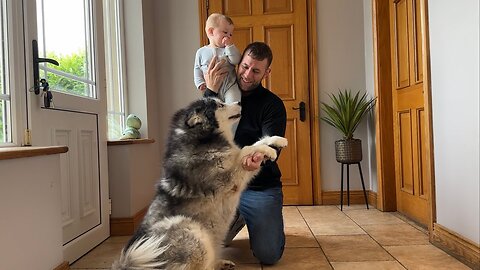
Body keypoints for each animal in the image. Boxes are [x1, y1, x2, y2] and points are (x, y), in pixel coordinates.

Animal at [110, 97, 286, 270]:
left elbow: (254, 143)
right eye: (220, 105)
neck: (203, 137)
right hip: (193, 231)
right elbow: (246, 149)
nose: (239, 102)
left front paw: (277, 140)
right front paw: (269, 150)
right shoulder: (231, 179)